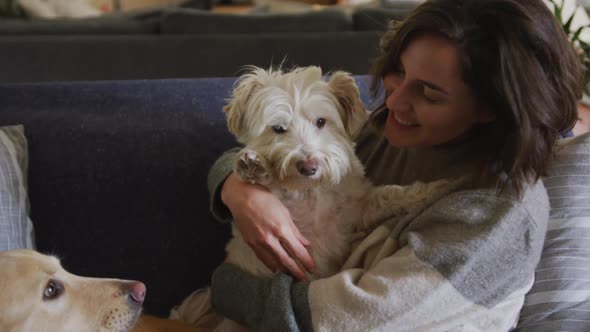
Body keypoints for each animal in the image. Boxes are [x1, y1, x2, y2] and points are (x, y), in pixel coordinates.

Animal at [172, 66, 448, 330]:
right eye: (278, 128)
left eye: (321, 122)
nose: (308, 166)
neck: (310, 192)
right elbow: (271, 186)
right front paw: (254, 166)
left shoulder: (356, 208)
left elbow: (386, 195)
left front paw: (430, 190)